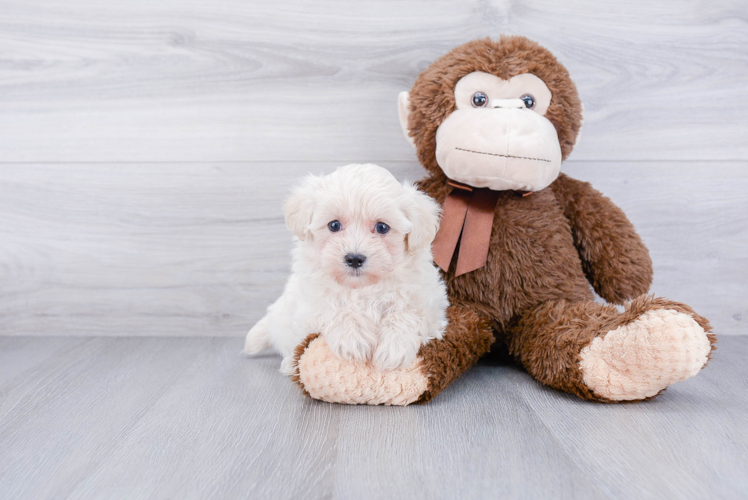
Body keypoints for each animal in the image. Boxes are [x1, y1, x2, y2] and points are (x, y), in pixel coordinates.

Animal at [243, 162, 448, 374]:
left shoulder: (430, 306)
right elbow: (334, 309)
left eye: (382, 227)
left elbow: (407, 313)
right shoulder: (309, 308)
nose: (355, 258)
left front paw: (394, 347)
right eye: (334, 225)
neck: (362, 287)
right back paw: (290, 363)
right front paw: (353, 339)